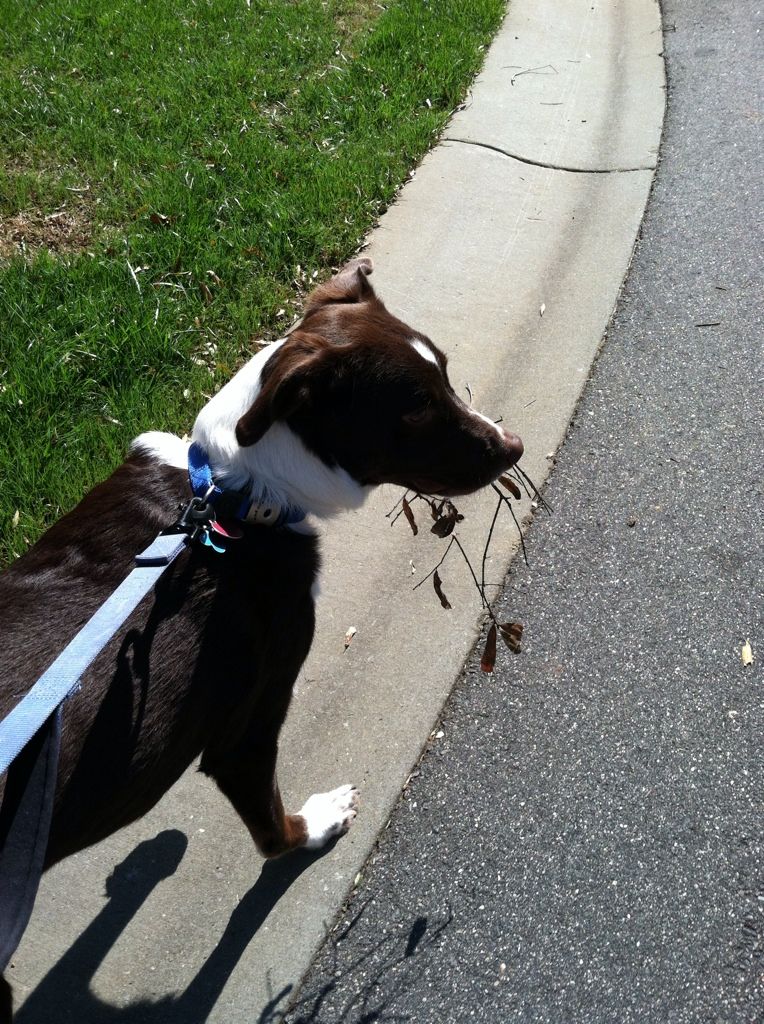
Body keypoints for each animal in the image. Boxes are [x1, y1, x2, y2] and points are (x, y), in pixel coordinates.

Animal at [0, 258, 520, 1015]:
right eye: (416, 407)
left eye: (446, 376)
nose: (514, 447)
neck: (238, 489)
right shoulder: (244, 732)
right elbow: (275, 828)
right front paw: (318, 824)